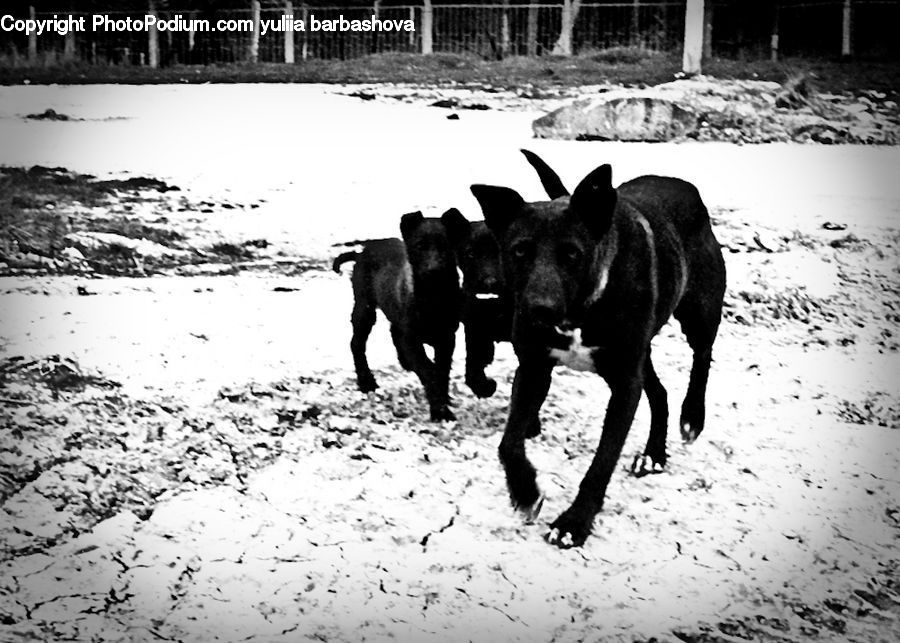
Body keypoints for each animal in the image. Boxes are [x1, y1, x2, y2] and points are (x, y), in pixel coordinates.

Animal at [332, 210, 472, 422]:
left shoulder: (447, 338)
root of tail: (361, 253)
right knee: (357, 344)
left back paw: (403, 362)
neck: (433, 299)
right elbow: (429, 370)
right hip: (365, 308)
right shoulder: (412, 338)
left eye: (446, 246)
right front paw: (440, 410)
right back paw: (366, 382)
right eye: (420, 246)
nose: (433, 271)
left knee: (393, 331)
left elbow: (441, 370)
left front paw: (442, 400)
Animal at [472, 152, 724, 548]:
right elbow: (509, 444)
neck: (578, 313)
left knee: (703, 356)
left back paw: (692, 416)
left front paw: (574, 523)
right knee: (659, 391)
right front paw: (526, 492)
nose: (539, 310)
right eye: (520, 250)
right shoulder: (533, 368)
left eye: (572, 254)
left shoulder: (623, 385)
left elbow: (602, 461)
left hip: (699, 311)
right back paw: (653, 454)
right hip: (639, 353)